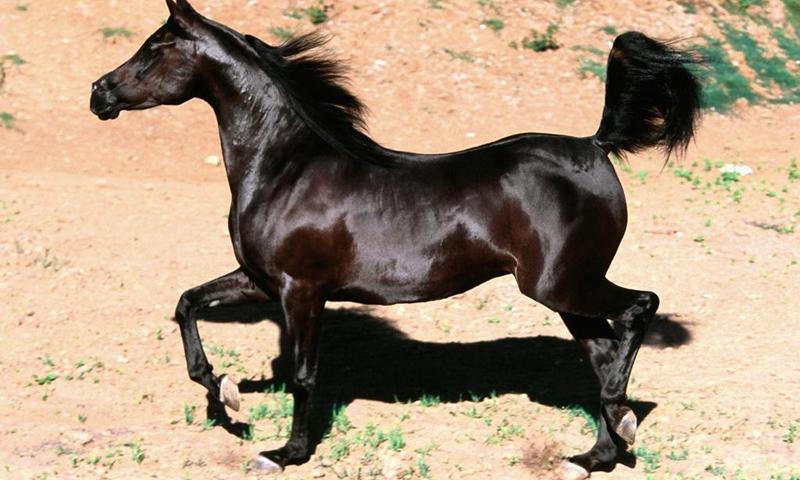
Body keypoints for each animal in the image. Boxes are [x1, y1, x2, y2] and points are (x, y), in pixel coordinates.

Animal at [90, 1, 701, 478]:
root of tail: (595, 146)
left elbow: (304, 374)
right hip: (565, 292)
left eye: (153, 48)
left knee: (640, 309)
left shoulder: (301, 290)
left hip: (563, 284)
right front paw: (225, 395)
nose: (99, 93)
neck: (287, 168)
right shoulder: (260, 281)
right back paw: (595, 454)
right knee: (602, 353)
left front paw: (285, 453)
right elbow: (188, 304)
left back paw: (619, 420)